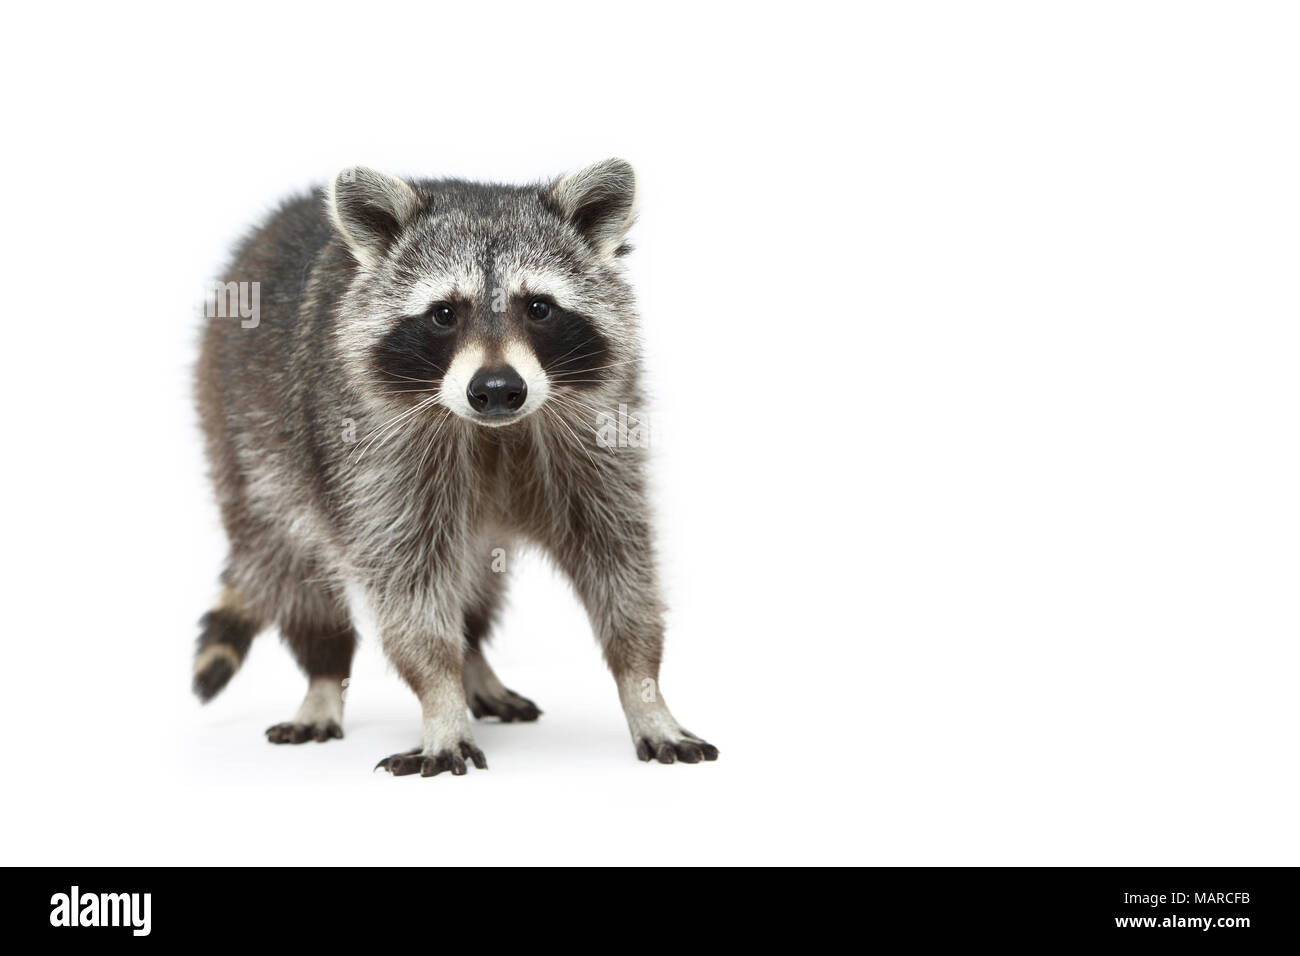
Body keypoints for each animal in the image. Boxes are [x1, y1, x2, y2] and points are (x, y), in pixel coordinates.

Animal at [193, 160, 722, 780]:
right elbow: (409, 591)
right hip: (246, 447)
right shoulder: (372, 459)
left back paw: (475, 661)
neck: (493, 433)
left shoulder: (601, 440)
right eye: (444, 313)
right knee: (291, 562)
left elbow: (621, 564)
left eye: (538, 307)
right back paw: (324, 675)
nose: (496, 389)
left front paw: (645, 690)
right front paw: (440, 699)